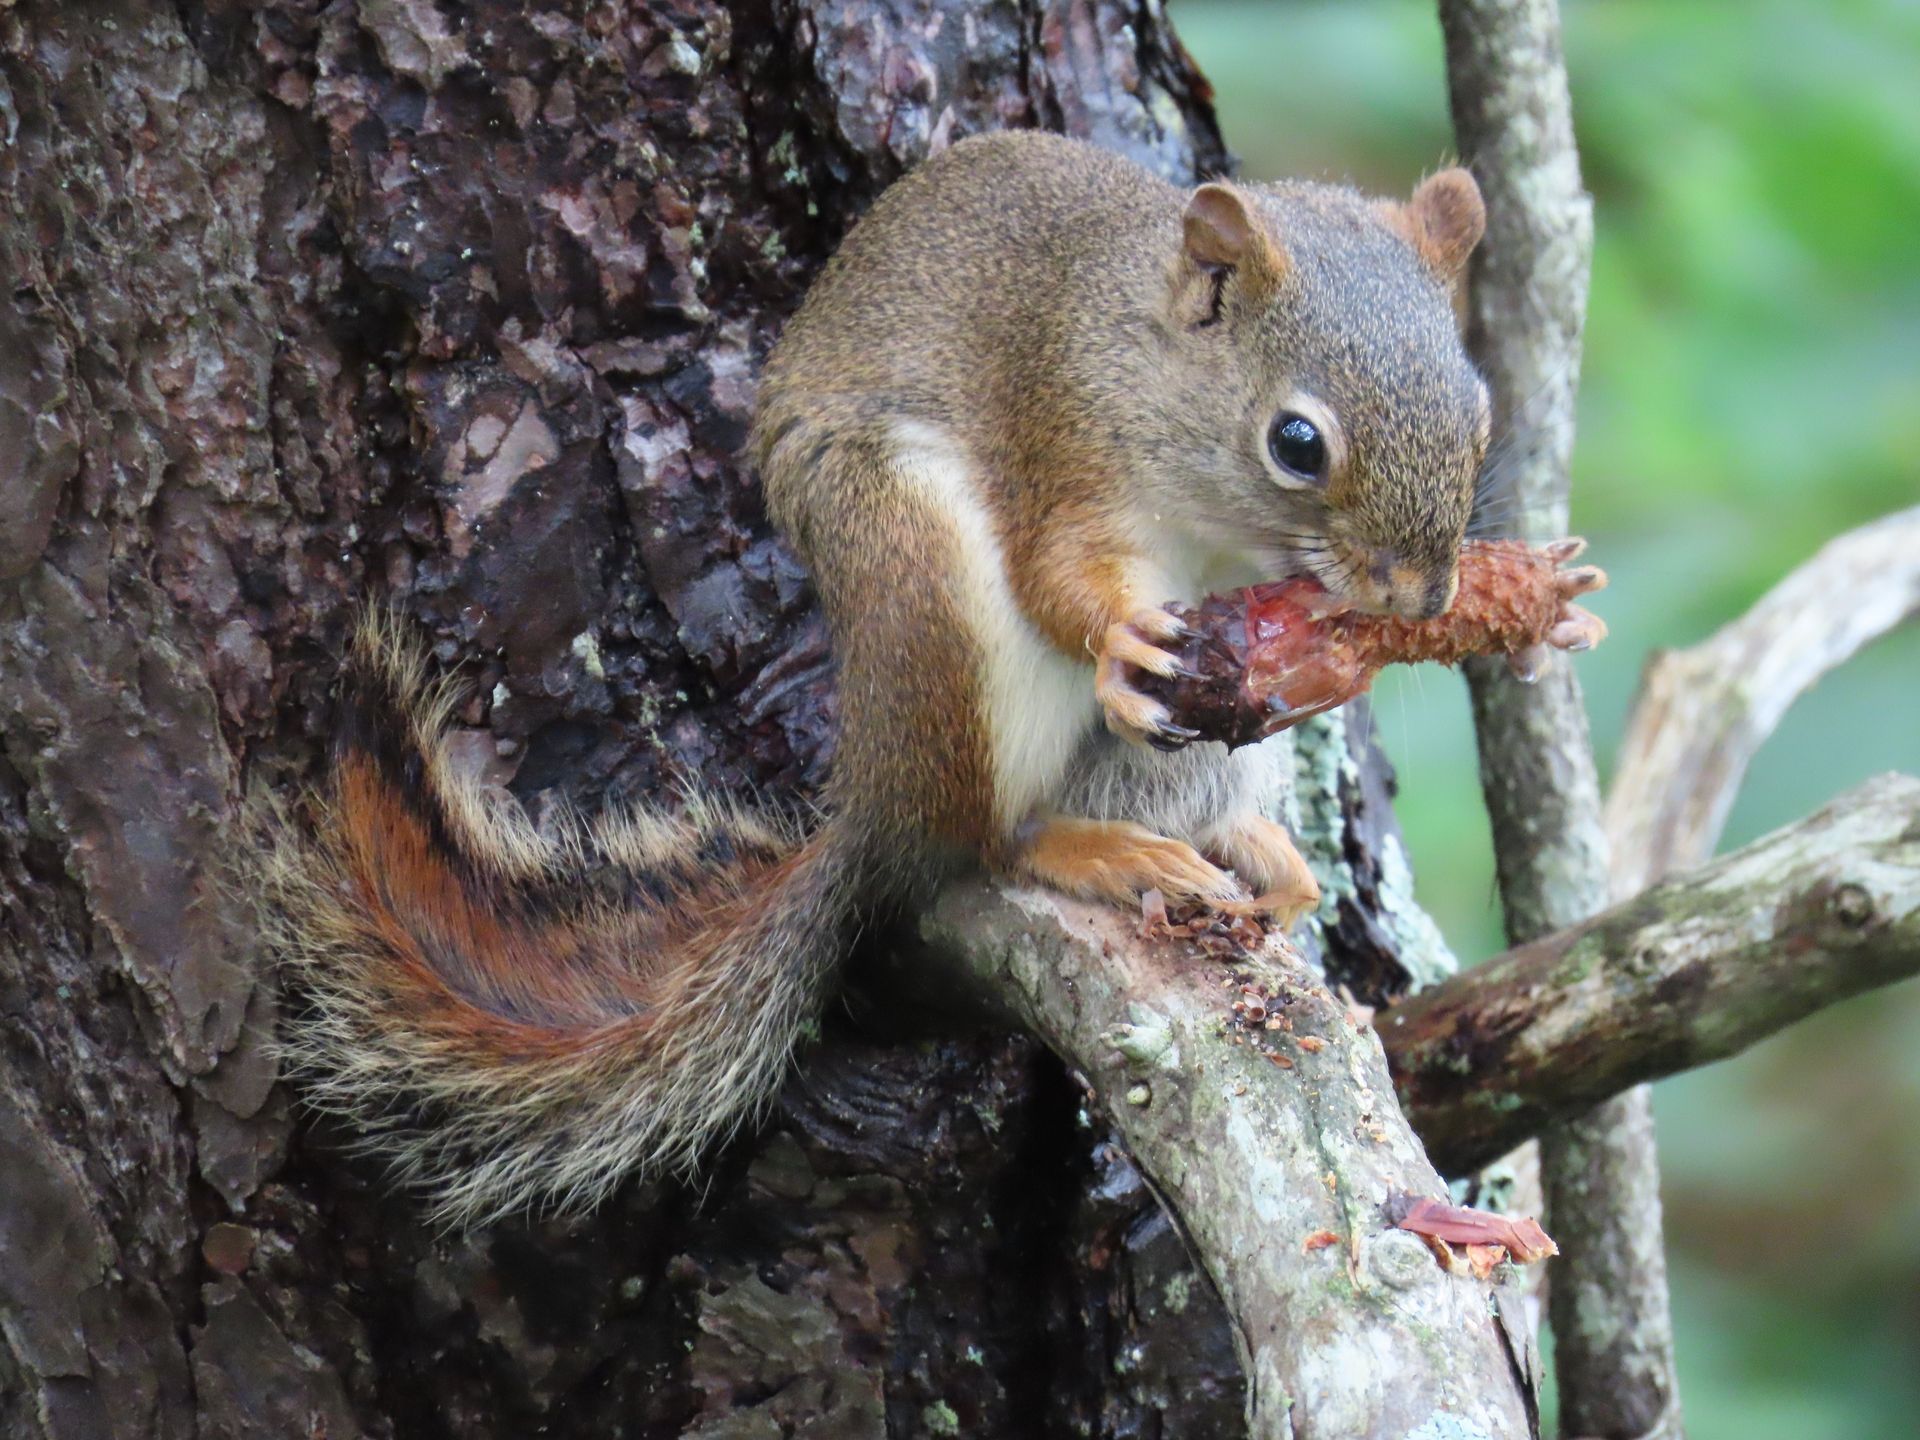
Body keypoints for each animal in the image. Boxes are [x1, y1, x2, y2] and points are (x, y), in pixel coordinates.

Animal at [261, 130, 1490, 1226]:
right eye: (1296, 442)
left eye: (1479, 411)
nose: (1423, 596)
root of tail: (877, 800)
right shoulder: (1065, 442)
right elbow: (1058, 578)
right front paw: (1120, 640)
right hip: (924, 586)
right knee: (982, 842)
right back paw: (1084, 847)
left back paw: (1257, 854)